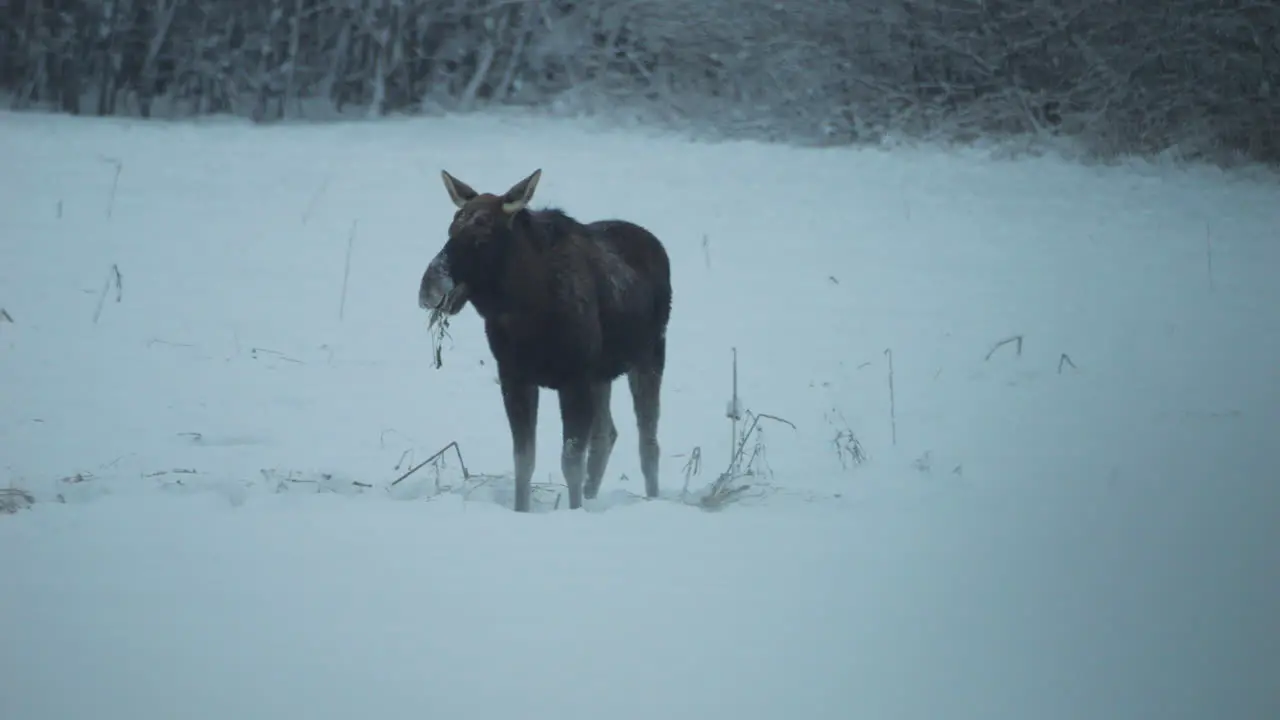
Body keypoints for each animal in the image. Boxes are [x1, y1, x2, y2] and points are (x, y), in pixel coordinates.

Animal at [422, 167, 680, 509]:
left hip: (649, 354)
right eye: (451, 228)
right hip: (602, 374)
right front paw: (523, 509)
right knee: (606, 435)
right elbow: (524, 459)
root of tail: (656, 245)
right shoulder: (515, 377)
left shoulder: (574, 378)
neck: (526, 311)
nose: (430, 288)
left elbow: (570, 460)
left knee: (647, 442)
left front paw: (574, 510)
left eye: (483, 235)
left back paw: (650, 498)